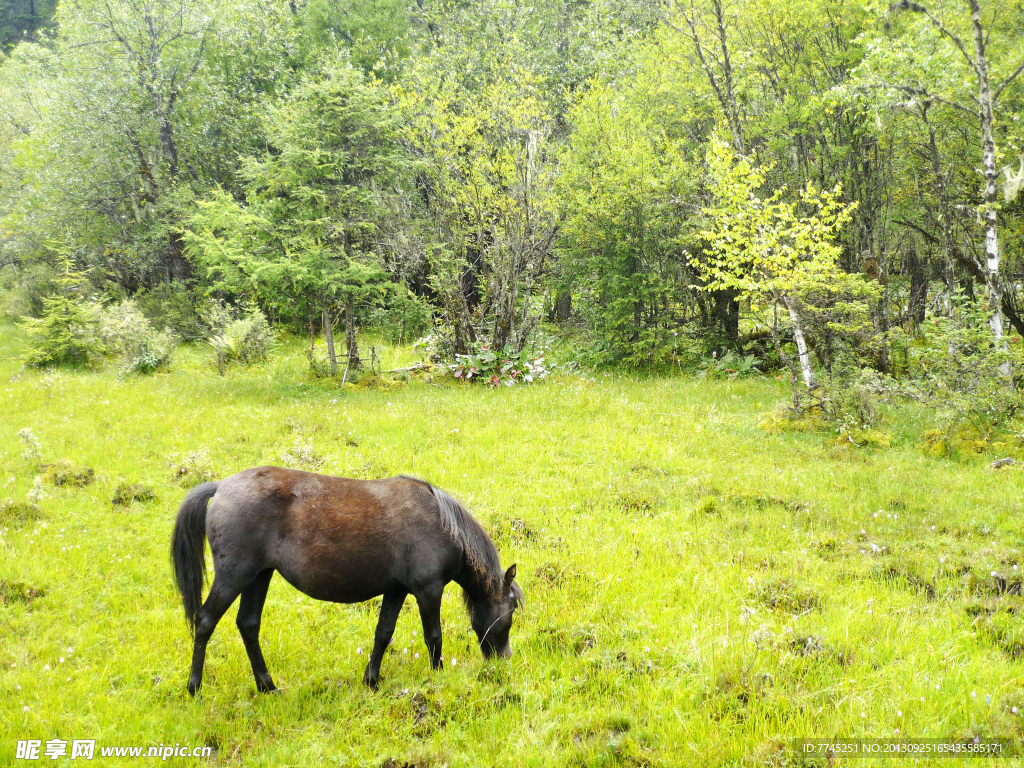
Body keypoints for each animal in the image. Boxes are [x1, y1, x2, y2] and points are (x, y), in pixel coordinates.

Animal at [171, 468, 520, 696]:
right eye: (512, 611)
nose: (504, 661)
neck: (441, 522)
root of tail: (220, 487)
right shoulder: (428, 590)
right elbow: (433, 637)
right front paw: (439, 677)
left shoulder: (396, 590)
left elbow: (383, 634)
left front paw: (371, 681)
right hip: (234, 577)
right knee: (205, 622)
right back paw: (194, 688)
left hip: (258, 577)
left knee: (248, 625)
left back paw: (267, 686)